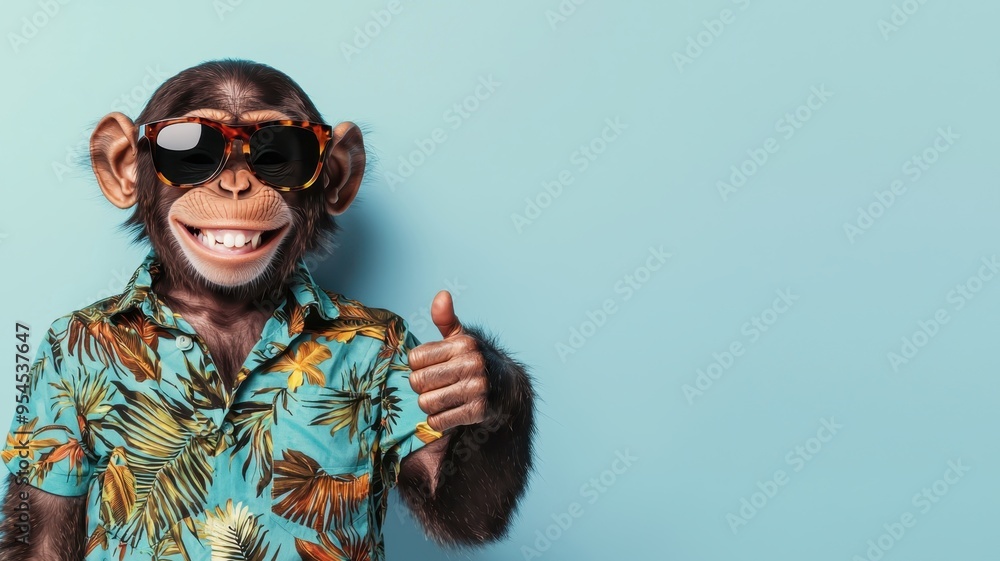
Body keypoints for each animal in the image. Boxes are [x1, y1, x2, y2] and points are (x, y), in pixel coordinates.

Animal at [0, 59, 535, 561]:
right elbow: (42, 527)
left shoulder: (394, 343)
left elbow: (453, 496)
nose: (236, 185)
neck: (225, 307)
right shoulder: (54, 360)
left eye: (277, 155)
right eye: (193, 152)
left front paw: (471, 375)